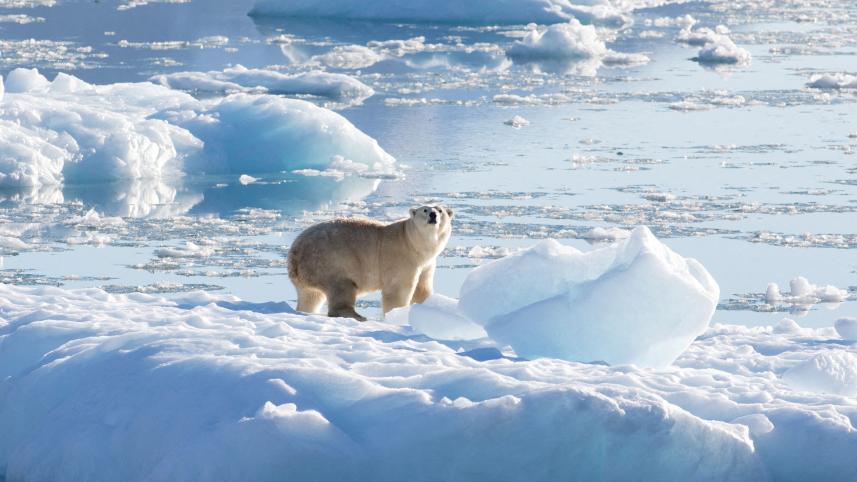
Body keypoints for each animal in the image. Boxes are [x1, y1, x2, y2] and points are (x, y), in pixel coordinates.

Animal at [287, 205, 454, 321]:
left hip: (309, 272)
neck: (412, 242)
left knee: (310, 296)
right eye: (425, 210)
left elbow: (422, 288)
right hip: (331, 260)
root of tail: (294, 253)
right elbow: (397, 290)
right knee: (342, 287)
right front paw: (397, 314)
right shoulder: (401, 257)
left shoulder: (426, 263)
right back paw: (358, 316)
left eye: (440, 210)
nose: (433, 215)